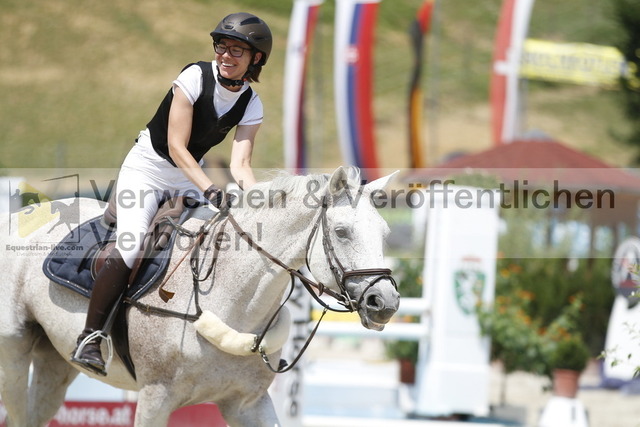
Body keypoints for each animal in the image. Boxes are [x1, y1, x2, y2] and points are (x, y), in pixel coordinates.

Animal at [0, 166, 400, 426]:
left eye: (385, 234)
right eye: (342, 232)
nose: (385, 303)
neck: (230, 302)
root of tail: (24, 213)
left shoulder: (248, 404)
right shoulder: (154, 400)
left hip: (54, 360)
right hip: (14, 355)